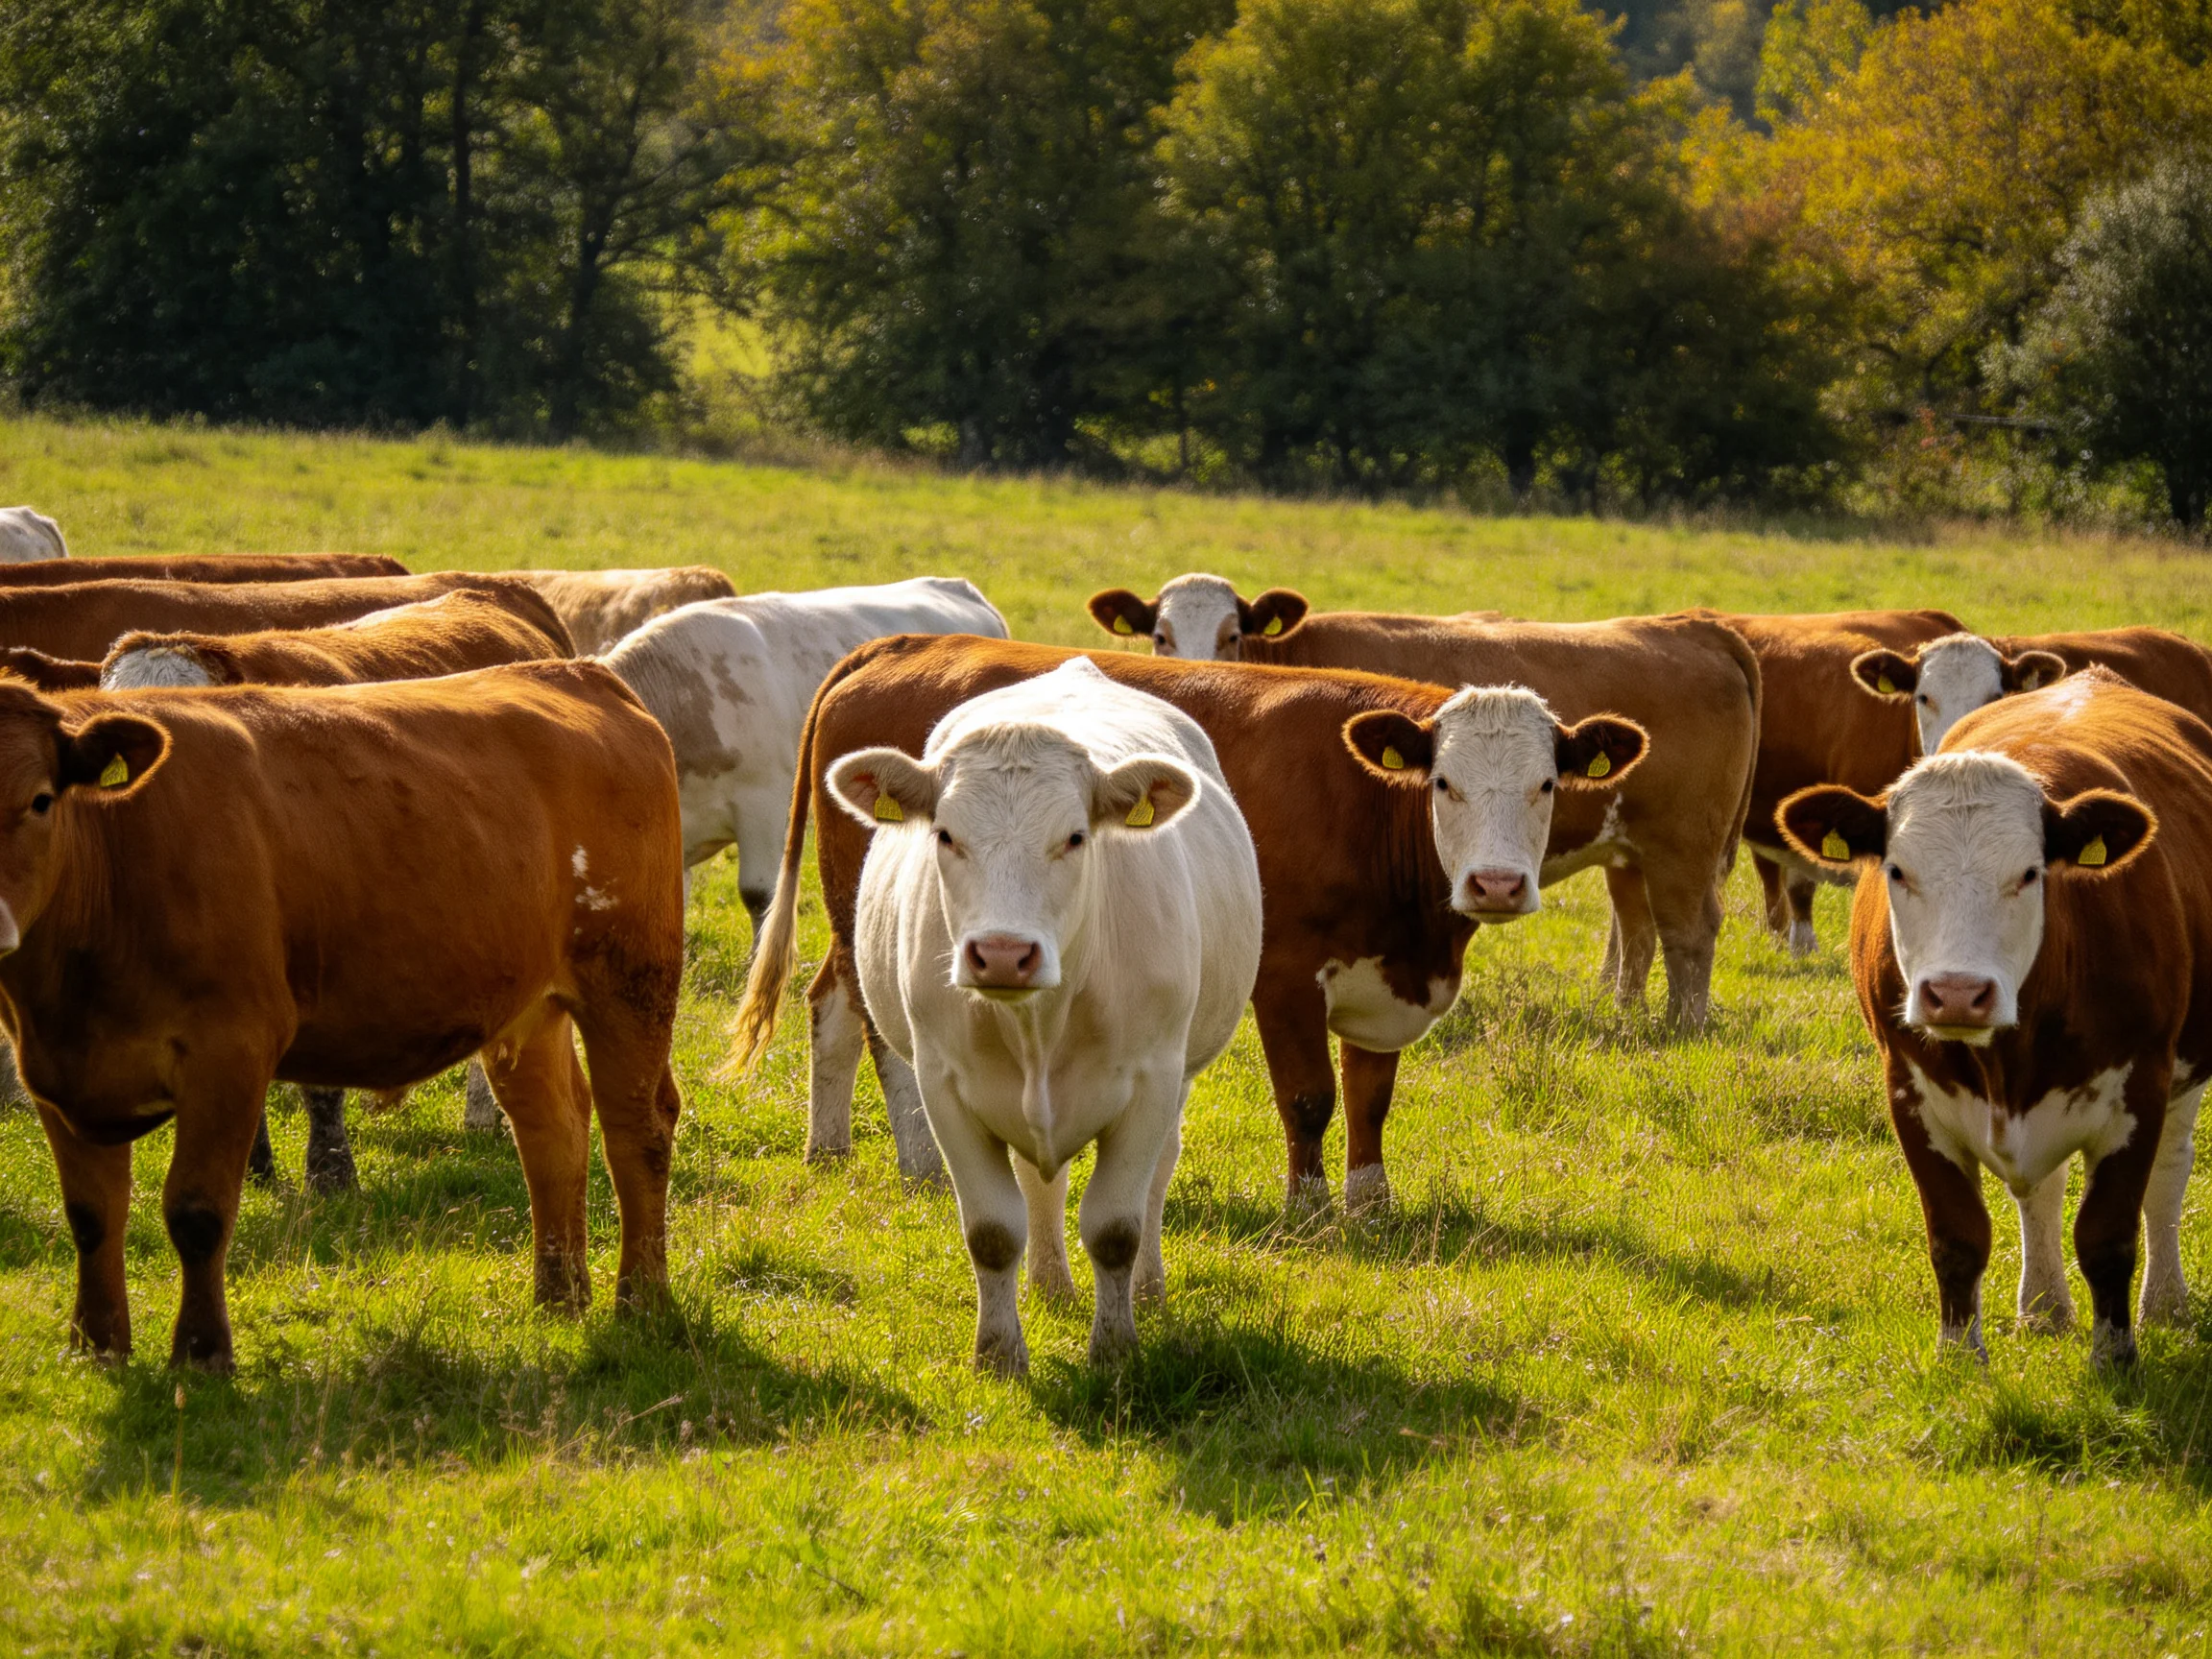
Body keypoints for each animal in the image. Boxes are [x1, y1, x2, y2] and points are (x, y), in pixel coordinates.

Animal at [0, 661, 684, 1373]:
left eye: (41, 800)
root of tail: (578, 672)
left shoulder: (230, 1052)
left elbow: (198, 1212)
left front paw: (201, 1355)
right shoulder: (55, 1072)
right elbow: (91, 1215)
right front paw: (95, 1347)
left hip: (631, 979)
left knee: (636, 1128)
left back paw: (641, 1301)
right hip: (527, 1006)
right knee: (552, 1128)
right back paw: (558, 1299)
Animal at [730, 636, 1648, 1216]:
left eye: (1545, 784)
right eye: (1445, 784)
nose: (1495, 884)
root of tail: (901, 644)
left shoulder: (1384, 978)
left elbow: (1372, 1096)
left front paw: (1371, 1201)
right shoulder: (1286, 973)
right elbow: (1310, 1095)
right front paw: (1309, 1207)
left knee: (830, 1003)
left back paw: (829, 1147)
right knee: (878, 1026)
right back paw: (920, 1163)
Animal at [828, 659, 1263, 1373]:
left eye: (1075, 837)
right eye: (946, 835)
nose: (1004, 954)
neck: (1041, 1023)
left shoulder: (1152, 1080)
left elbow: (1116, 1228)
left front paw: (1114, 1350)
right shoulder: (943, 1086)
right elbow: (993, 1231)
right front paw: (999, 1354)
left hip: (1180, 1075)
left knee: (1156, 1177)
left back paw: (1148, 1291)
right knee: (1040, 1186)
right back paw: (1051, 1285)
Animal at [1086, 575, 1760, 1028]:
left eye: (1232, 635)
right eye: (1160, 635)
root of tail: (1693, 625)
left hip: (1683, 848)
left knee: (1689, 932)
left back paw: (1681, 1027)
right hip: (1630, 852)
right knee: (1636, 930)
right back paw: (1621, 1011)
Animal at [1778, 668, 2212, 1365]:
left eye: (2030, 874)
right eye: (1897, 870)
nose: (1957, 993)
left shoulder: (2141, 1084)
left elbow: (2109, 1235)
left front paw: (2115, 1357)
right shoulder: (1909, 1092)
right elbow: (1957, 1237)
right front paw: (1960, 1359)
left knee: (2168, 1179)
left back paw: (2165, 1303)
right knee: (2042, 1191)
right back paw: (2043, 1309)